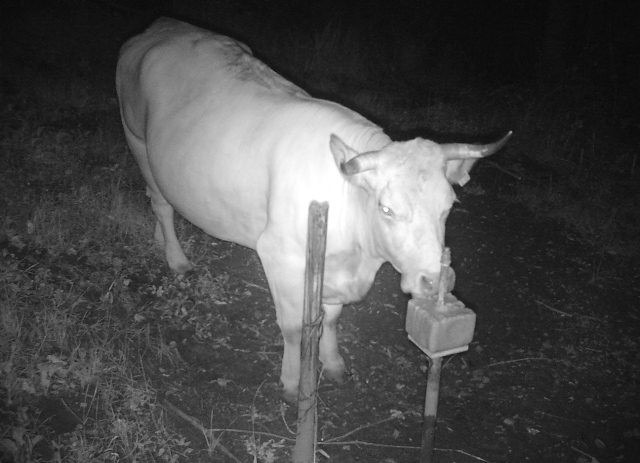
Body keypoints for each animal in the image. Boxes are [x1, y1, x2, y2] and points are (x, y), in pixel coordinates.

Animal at [116, 18, 511, 401]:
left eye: (449, 206)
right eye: (386, 208)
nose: (435, 281)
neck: (358, 252)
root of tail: (163, 27)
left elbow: (331, 320)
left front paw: (333, 363)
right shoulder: (278, 256)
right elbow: (292, 328)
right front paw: (293, 383)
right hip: (138, 141)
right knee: (161, 203)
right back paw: (176, 258)